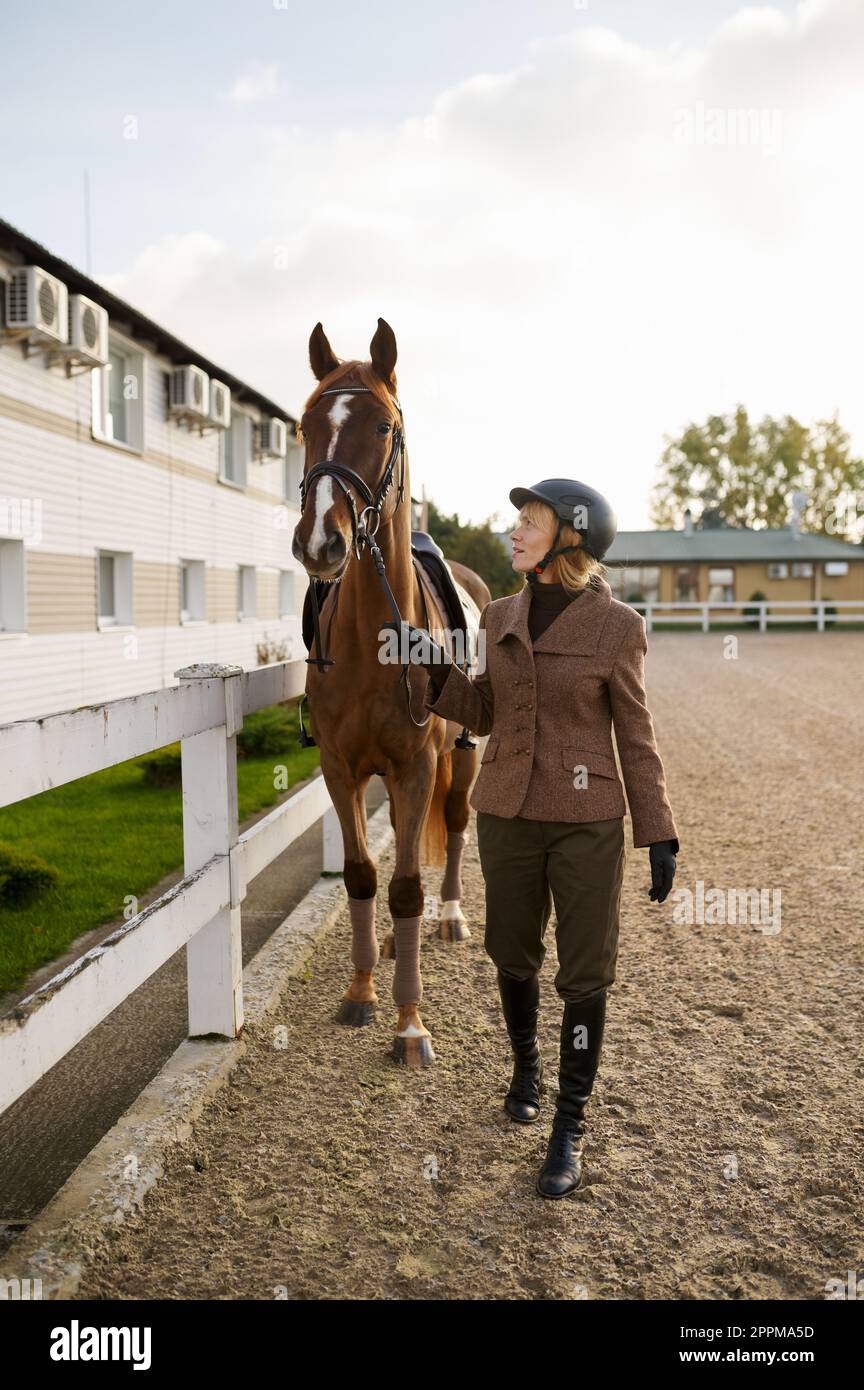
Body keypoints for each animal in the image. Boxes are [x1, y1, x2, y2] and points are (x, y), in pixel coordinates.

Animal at [293, 322, 491, 1061]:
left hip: (463, 760)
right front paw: (361, 992)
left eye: (382, 425)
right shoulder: (341, 768)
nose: (321, 542)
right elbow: (361, 876)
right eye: (306, 426)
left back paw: (451, 916)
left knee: (456, 827)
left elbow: (406, 888)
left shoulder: (417, 767)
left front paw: (410, 1024)